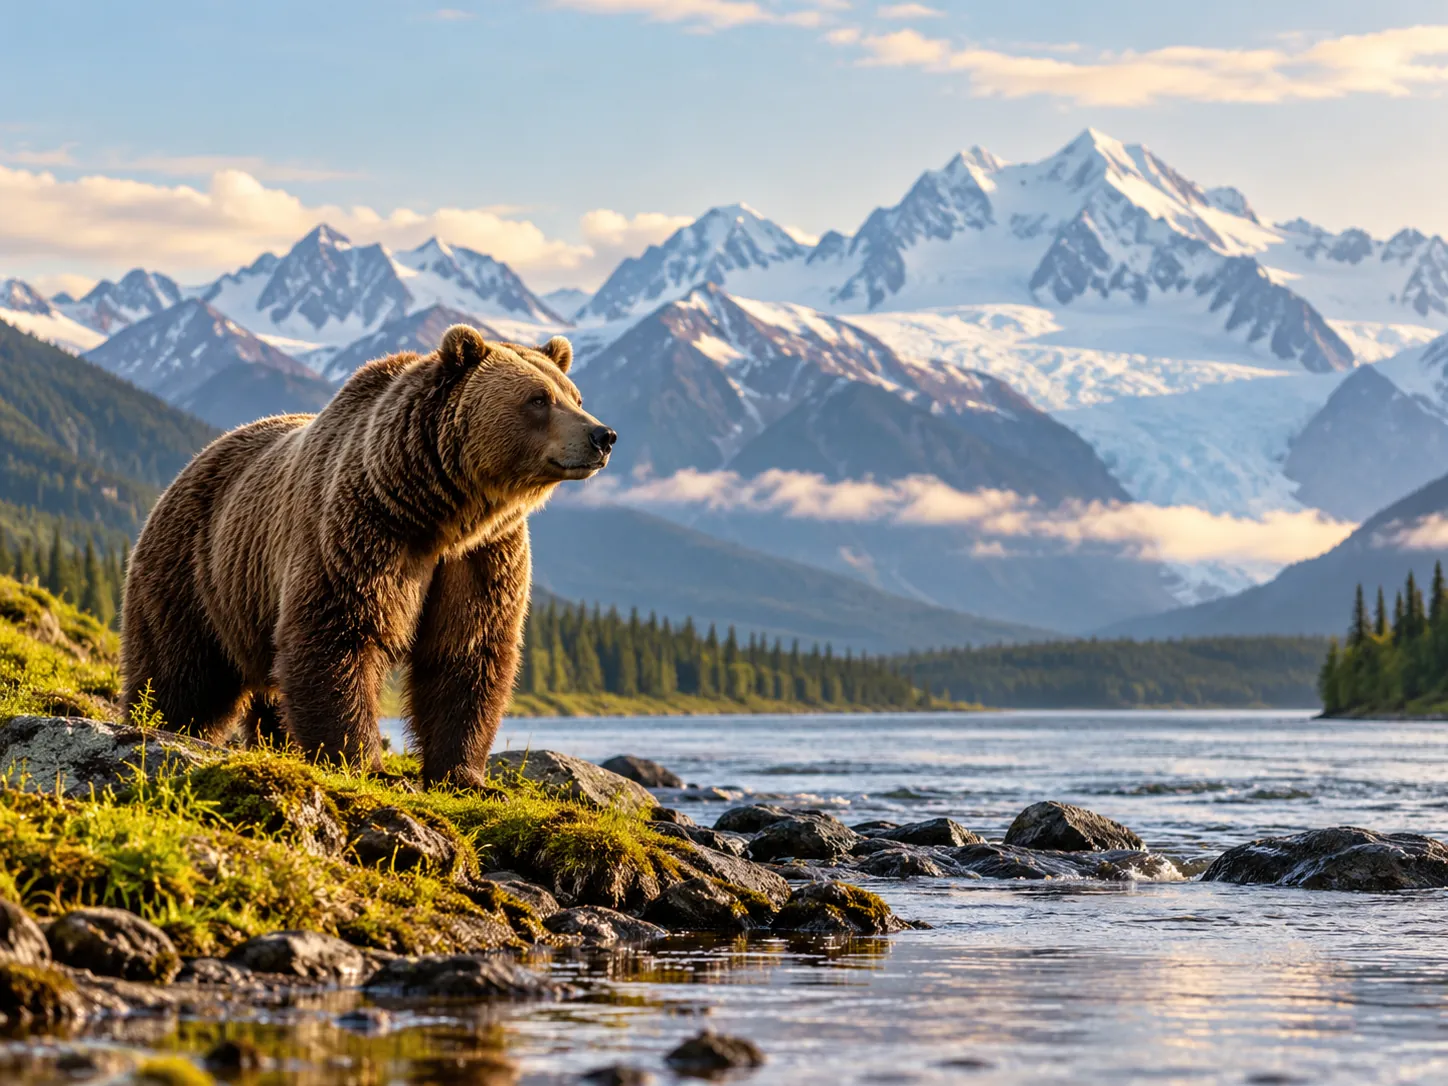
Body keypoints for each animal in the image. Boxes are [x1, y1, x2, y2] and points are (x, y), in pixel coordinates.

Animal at [121, 325, 615, 785]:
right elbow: (339, 632)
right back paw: (155, 721)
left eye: (575, 395)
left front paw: (465, 776)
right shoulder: (365, 532)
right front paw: (362, 762)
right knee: (179, 669)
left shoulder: (483, 557)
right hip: (196, 568)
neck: (442, 513)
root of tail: (194, 462)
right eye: (538, 399)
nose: (603, 435)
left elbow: (467, 652)